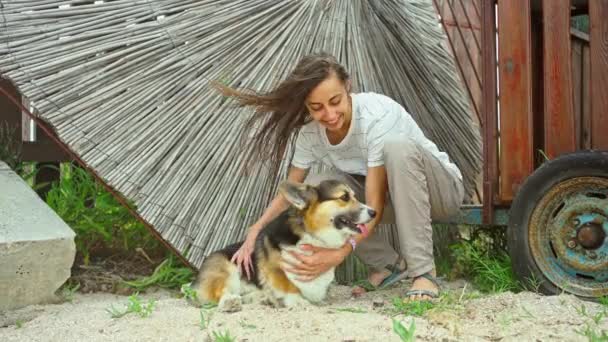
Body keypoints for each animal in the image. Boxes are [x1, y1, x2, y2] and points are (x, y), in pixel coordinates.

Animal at [190, 180, 376, 312]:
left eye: (354, 196)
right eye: (344, 197)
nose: (374, 212)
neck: (311, 234)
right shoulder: (274, 269)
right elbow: (288, 285)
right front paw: (299, 301)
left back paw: (262, 299)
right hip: (226, 270)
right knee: (220, 293)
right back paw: (230, 302)